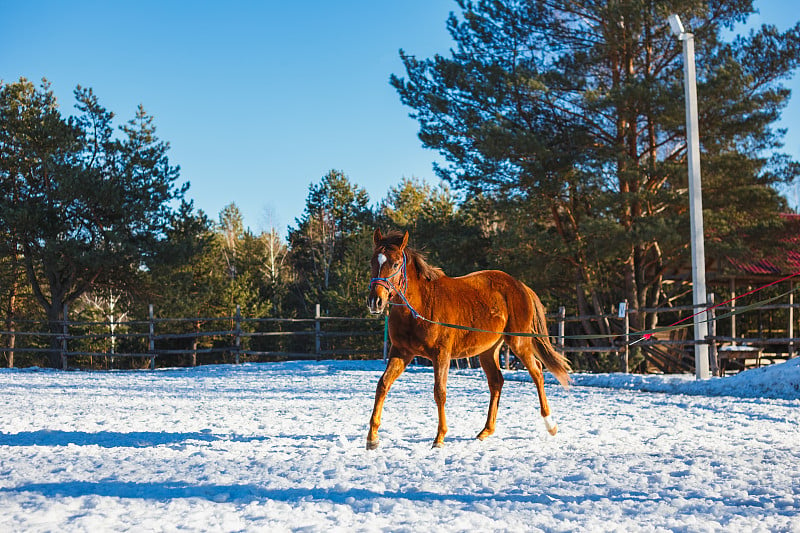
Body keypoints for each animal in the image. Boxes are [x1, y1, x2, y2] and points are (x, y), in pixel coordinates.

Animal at [366, 229, 572, 448]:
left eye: (396, 264)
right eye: (372, 262)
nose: (375, 301)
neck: (420, 306)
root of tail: (521, 286)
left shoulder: (441, 355)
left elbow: (440, 392)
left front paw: (439, 437)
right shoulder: (401, 353)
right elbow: (383, 385)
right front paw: (372, 438)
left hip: (519, 342)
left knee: (537, 373)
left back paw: (551, 425)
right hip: (488, 350)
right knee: (496, 381)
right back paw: (486, 431)